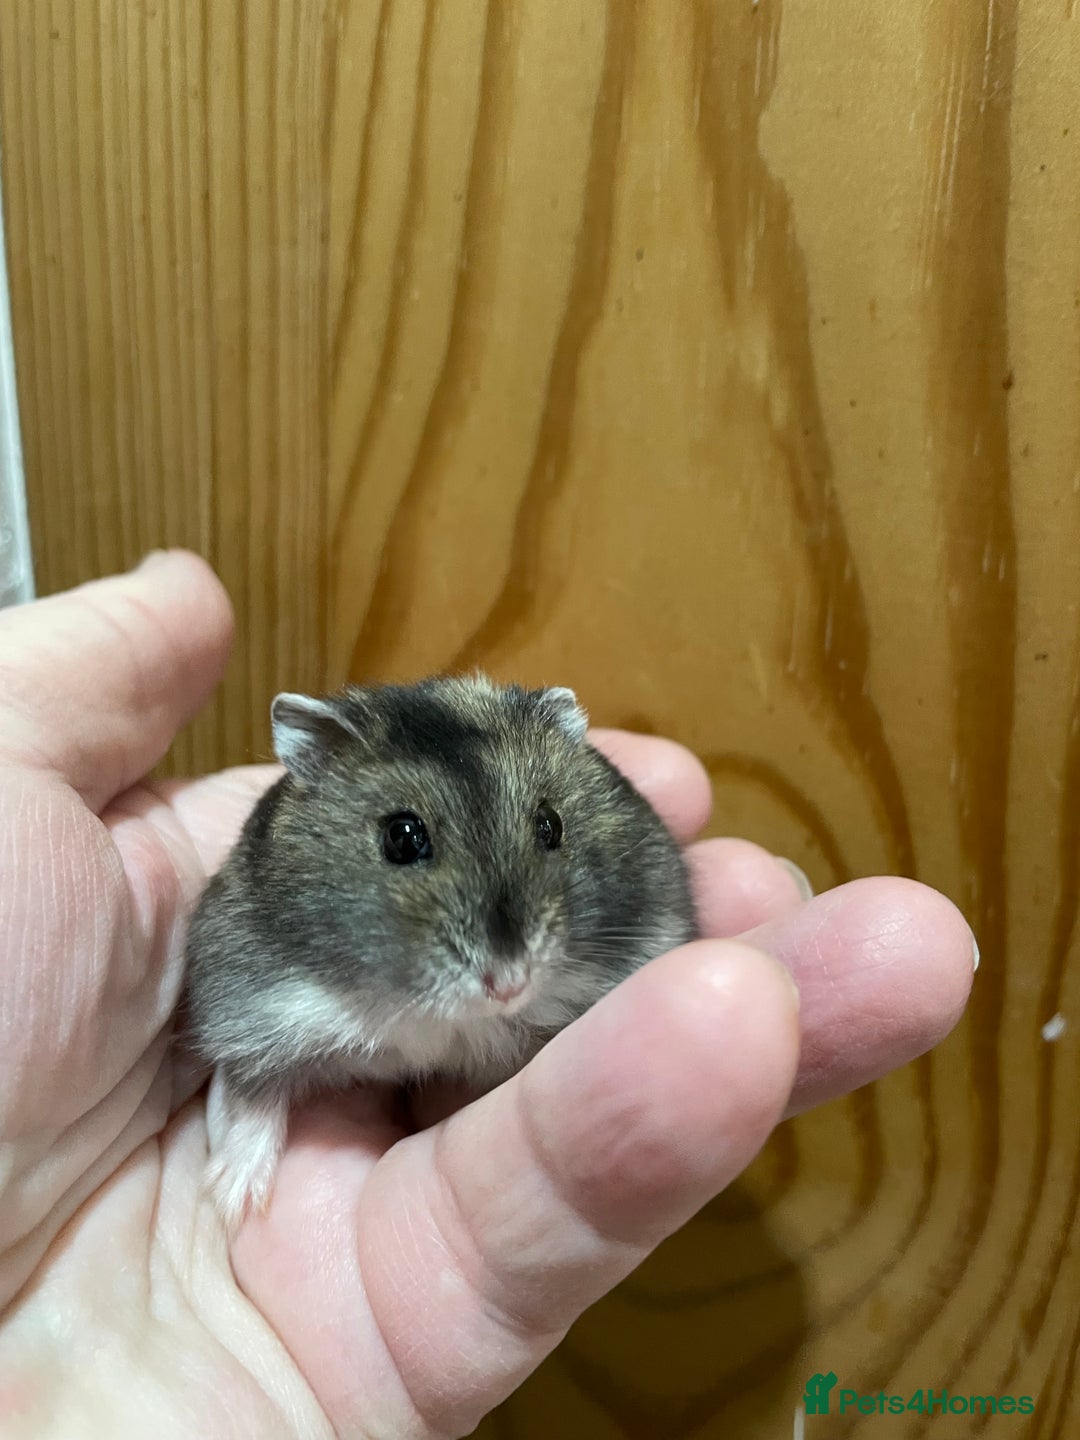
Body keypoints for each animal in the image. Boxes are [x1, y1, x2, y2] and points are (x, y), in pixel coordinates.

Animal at [182, 674, 698, 1227]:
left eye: (550, 825)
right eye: (402, 837)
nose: (509, 985)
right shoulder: (254, 1009)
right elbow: (253, 1098)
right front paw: (232, 1203)